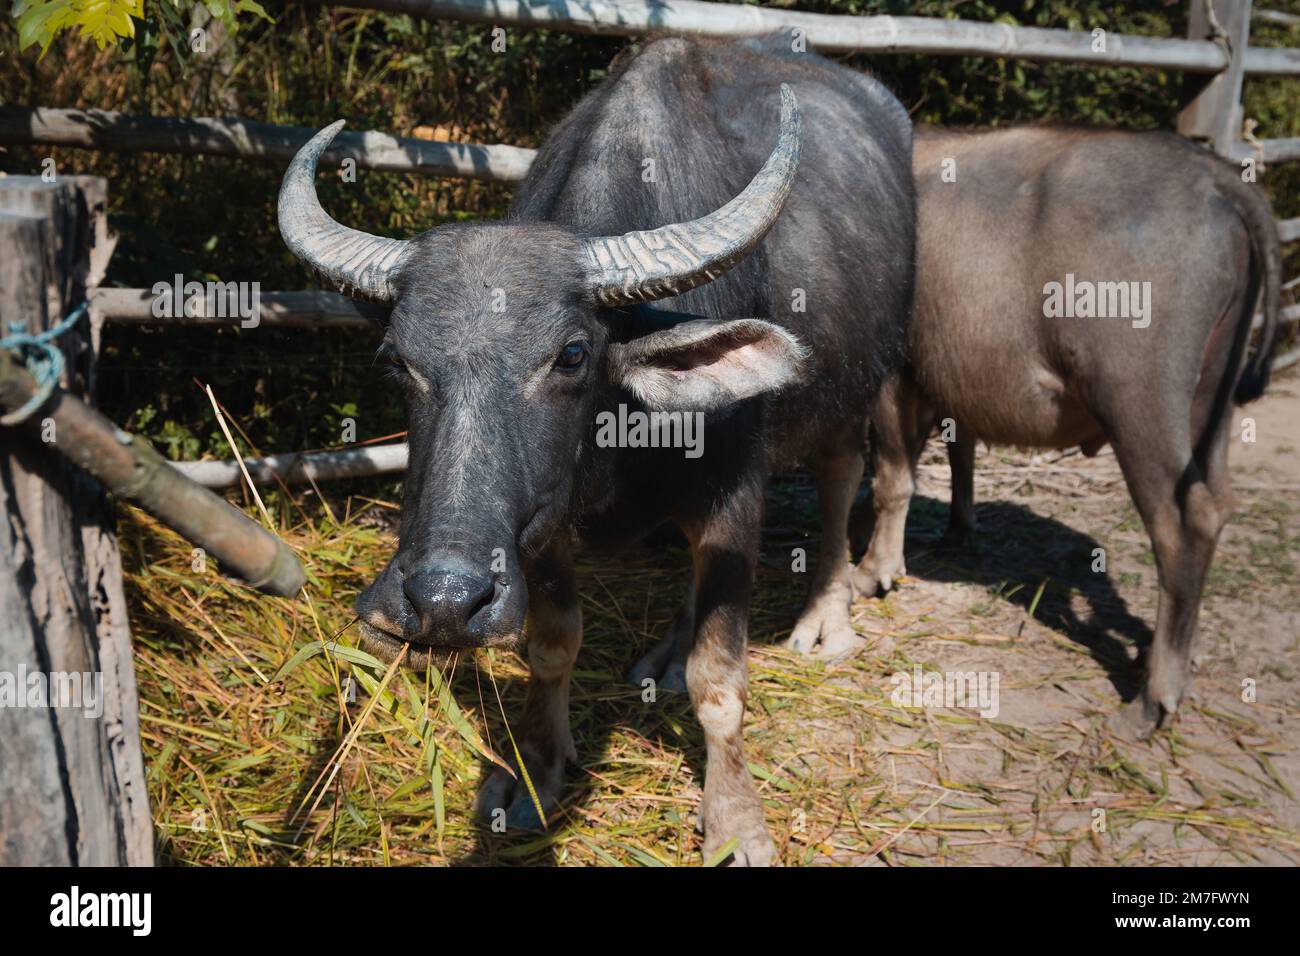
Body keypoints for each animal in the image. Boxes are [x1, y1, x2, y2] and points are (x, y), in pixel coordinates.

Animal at [279, 35, 920, 868]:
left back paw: (826, 617)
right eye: (396, 361)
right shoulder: (542, 523)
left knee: (843, 479)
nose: (444, 600)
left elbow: (721, 680)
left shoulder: (735, 502)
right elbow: (553, 647)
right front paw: (533, 773)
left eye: (573, 355)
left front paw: (736, 821)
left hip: (857, 387)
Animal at [852, 125, 1279, 738]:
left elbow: (893, 475)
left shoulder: (896, 370)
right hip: (1213, 396)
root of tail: (1218, 178)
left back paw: (1152, 700)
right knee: (1218, 498)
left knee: (1186, 522)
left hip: (1139, 398)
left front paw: (873, 572)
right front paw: (957, 529)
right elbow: (958, 451)